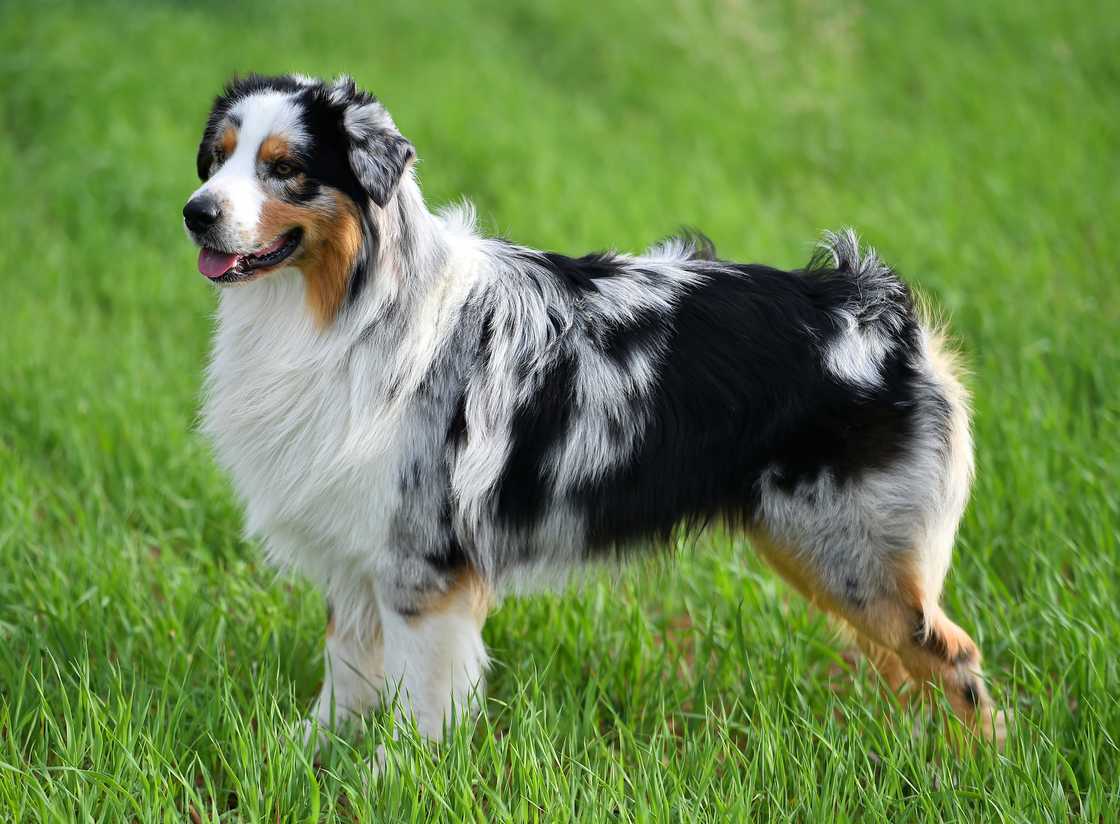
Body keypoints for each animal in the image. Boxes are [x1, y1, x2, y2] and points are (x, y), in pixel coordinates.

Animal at [183, 73, 1008, 756]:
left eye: (285, 167)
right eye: (216, 159)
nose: (195, 214)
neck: (346, 305)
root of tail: (875, 308)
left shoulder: (423, 560)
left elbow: (422, 697)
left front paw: (396, 777)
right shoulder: (356, 546)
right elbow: (346, 672)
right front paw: (304, 756)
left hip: (853, 555)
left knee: (955, 660)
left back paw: (977, 770)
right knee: (911, 665)